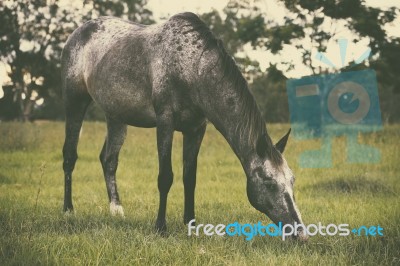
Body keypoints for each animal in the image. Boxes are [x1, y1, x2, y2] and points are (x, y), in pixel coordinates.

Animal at [61, 11, 306, 238]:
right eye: (270, 183)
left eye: (292, 180)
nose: (300, 233)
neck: (191, 66)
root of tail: (78, 32)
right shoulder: (165, 122)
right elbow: (165, 177)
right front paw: (161, 227)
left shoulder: (196, 129)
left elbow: (190, 177)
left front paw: (191, 224)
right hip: (75, 102)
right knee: (70, 156)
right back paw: (68, 210)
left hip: (116, 116)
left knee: (109, 160)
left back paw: (116, 211)